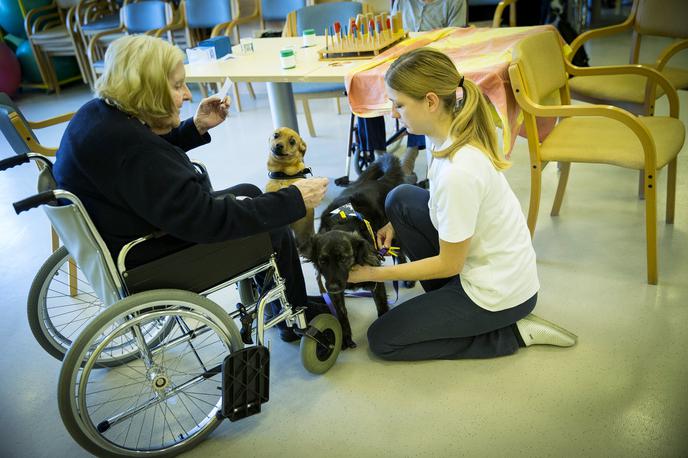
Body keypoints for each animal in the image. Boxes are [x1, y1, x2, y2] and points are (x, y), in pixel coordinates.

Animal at [306, 153, 404, 348]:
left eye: (344, 259)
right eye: (322, 261)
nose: (333, 286)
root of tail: (380, 181)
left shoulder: (375, 281)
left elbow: (381, 307)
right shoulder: (334, 293)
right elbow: (342, 314)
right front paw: (345, 338)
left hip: (391, 232)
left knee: (401, 252)